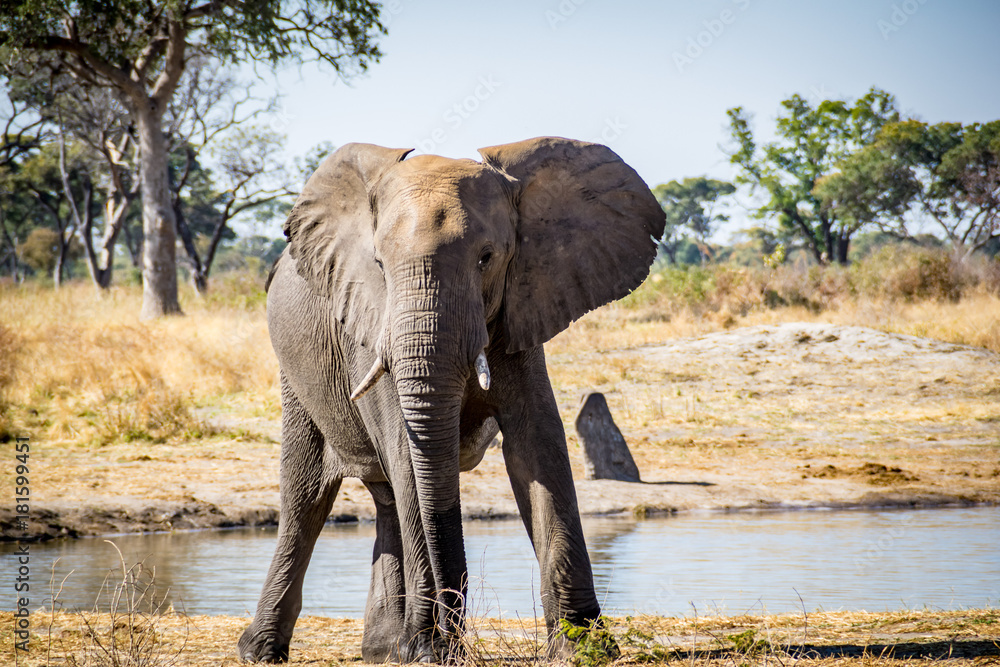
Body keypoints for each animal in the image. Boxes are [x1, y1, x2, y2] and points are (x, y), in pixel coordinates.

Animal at [238, 136, 665, 663]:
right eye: (379, 265)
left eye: (487, 257)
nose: (445, 636)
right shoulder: (370, 327)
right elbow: (407, 454)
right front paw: (425, 651)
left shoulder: (522, 308)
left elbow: (538, 448)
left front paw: (585, 649)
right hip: (296, 376)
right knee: (307, 499)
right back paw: (263, 650)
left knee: (384, 499)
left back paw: (383, 649)